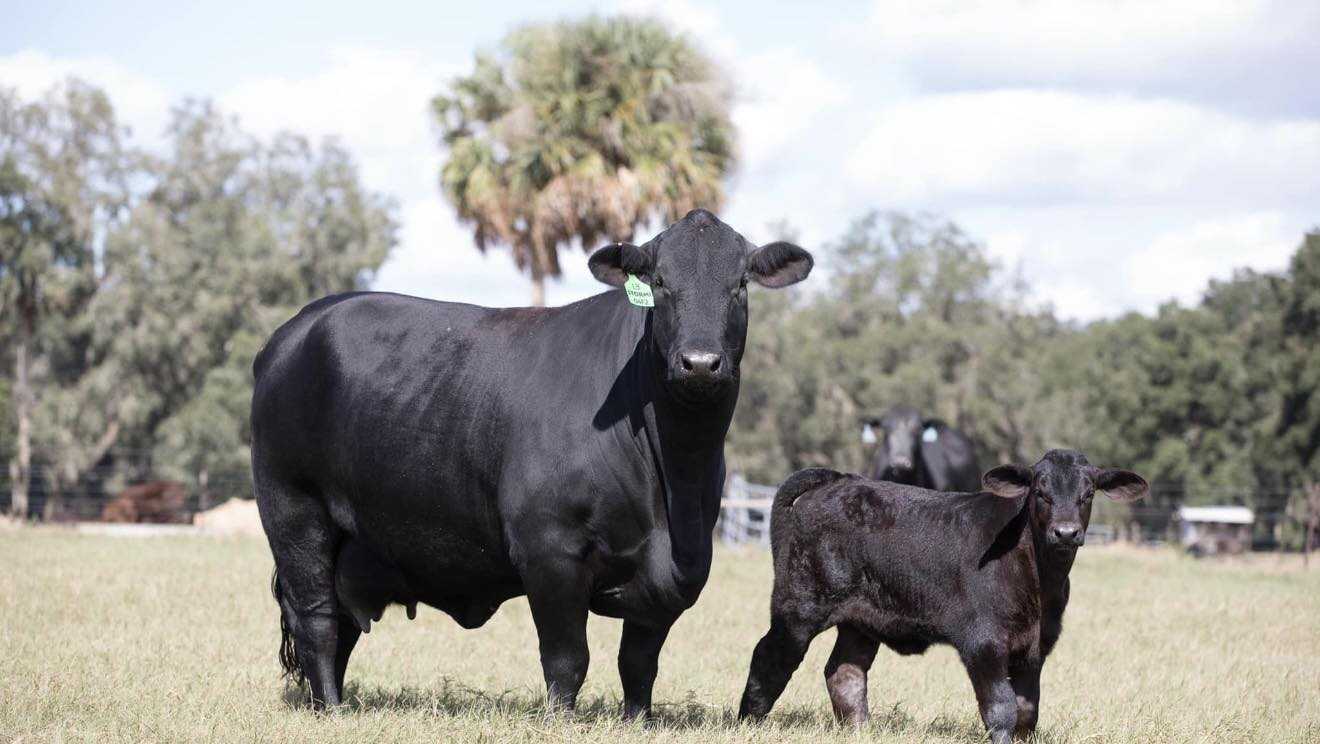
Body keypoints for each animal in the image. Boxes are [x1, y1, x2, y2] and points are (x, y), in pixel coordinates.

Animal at [251, 209, 813, 714]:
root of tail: (299, 326)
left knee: (341, 625)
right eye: (659, 282)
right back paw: (333, 711)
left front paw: (638, 720)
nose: (699, 363)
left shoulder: (675, 572)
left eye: (740, 285)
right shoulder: (549, 551)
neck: (674, 481)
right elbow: (567, 660)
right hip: (294, 512)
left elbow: (638, 663)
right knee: (318, 620)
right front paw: (560, 720)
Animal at [738, 450, 1147, 744]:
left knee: (845, 672)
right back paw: (747, 723)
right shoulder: (983, 641)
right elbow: (1001, 709)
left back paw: (860, 731)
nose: (1065, 532)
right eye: (1040, 492)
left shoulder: (1036, 647)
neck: (1039, 579)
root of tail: (840, 480)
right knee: (770, 656)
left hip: (861, 619)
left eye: (1087, 494)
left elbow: (1027, 711)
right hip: (800, 605)